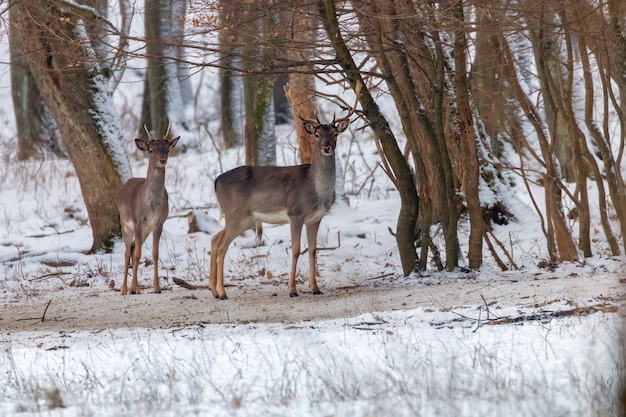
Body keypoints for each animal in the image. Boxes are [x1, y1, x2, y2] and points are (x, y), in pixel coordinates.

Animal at [117, 127, 178, 296]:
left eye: (167, 149)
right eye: (151, 150)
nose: (162, 160)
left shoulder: (159, 223)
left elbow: (155, 254)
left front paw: (157, 288)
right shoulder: (138, 222)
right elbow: (138, 254)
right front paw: (132, 289)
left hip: (144, 231)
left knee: (132, 249)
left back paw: (135, 288)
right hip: (125, 225)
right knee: (127, 252)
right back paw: (124, 289)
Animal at [207, 85, 358, 300]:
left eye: (335, 133)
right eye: (317, 135)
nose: (327, 147)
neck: (315, 190)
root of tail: (216, 181)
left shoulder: (315, 218)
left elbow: (313, 250)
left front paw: (315, 287)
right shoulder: (295, 213)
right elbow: (295, 250)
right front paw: (292, 290)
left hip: (243, 218)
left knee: (214, 239)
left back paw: (213, 290)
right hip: (236, 214)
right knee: (221, 246)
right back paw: (222, 292)